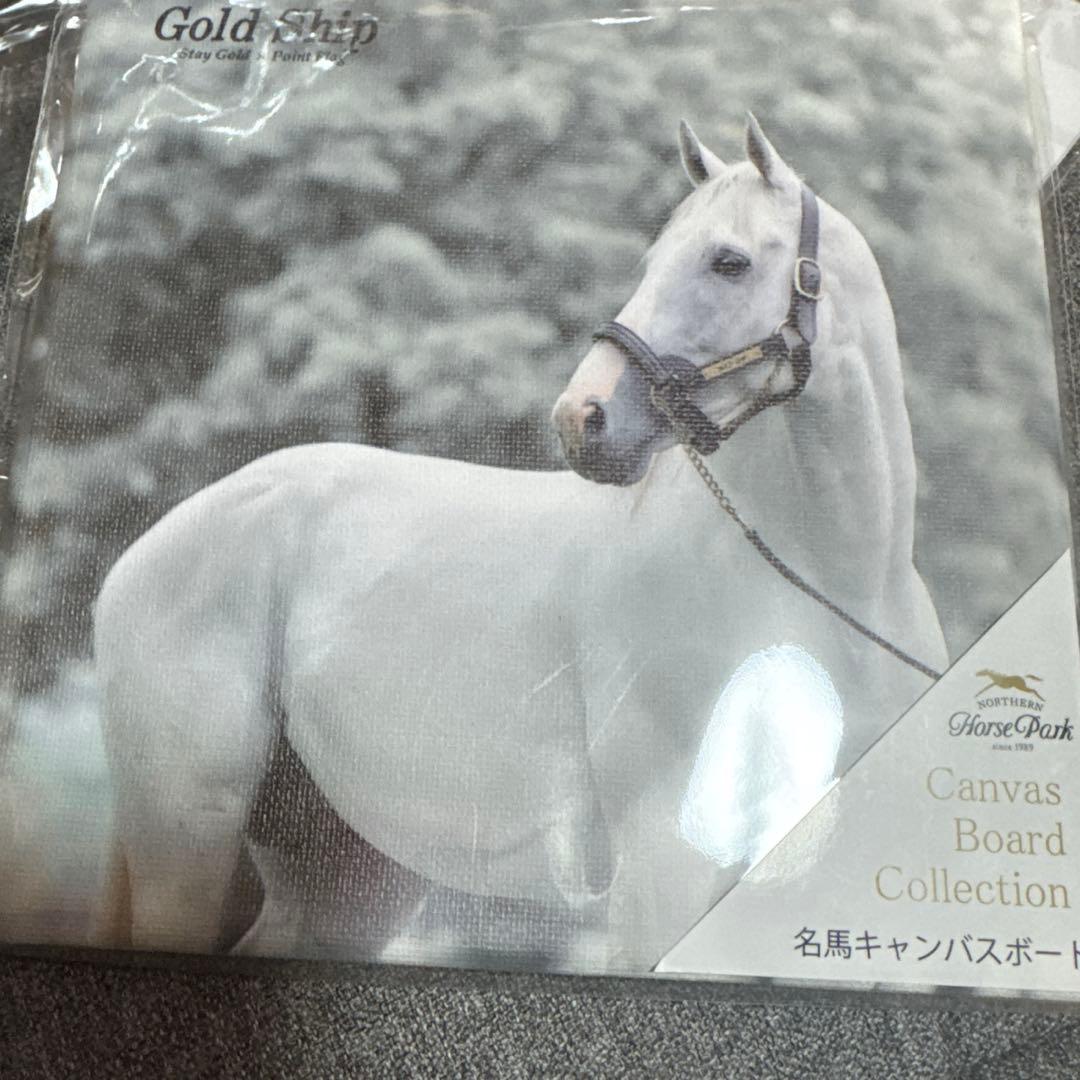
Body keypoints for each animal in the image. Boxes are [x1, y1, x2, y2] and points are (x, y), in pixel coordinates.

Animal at [92, 115, 948, 972]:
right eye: (652, 261)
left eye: (729, 260)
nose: (582, 418)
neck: (833, 591)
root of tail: (145, 553)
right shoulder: (665, 876)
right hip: (187, 839)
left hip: (347, 877)